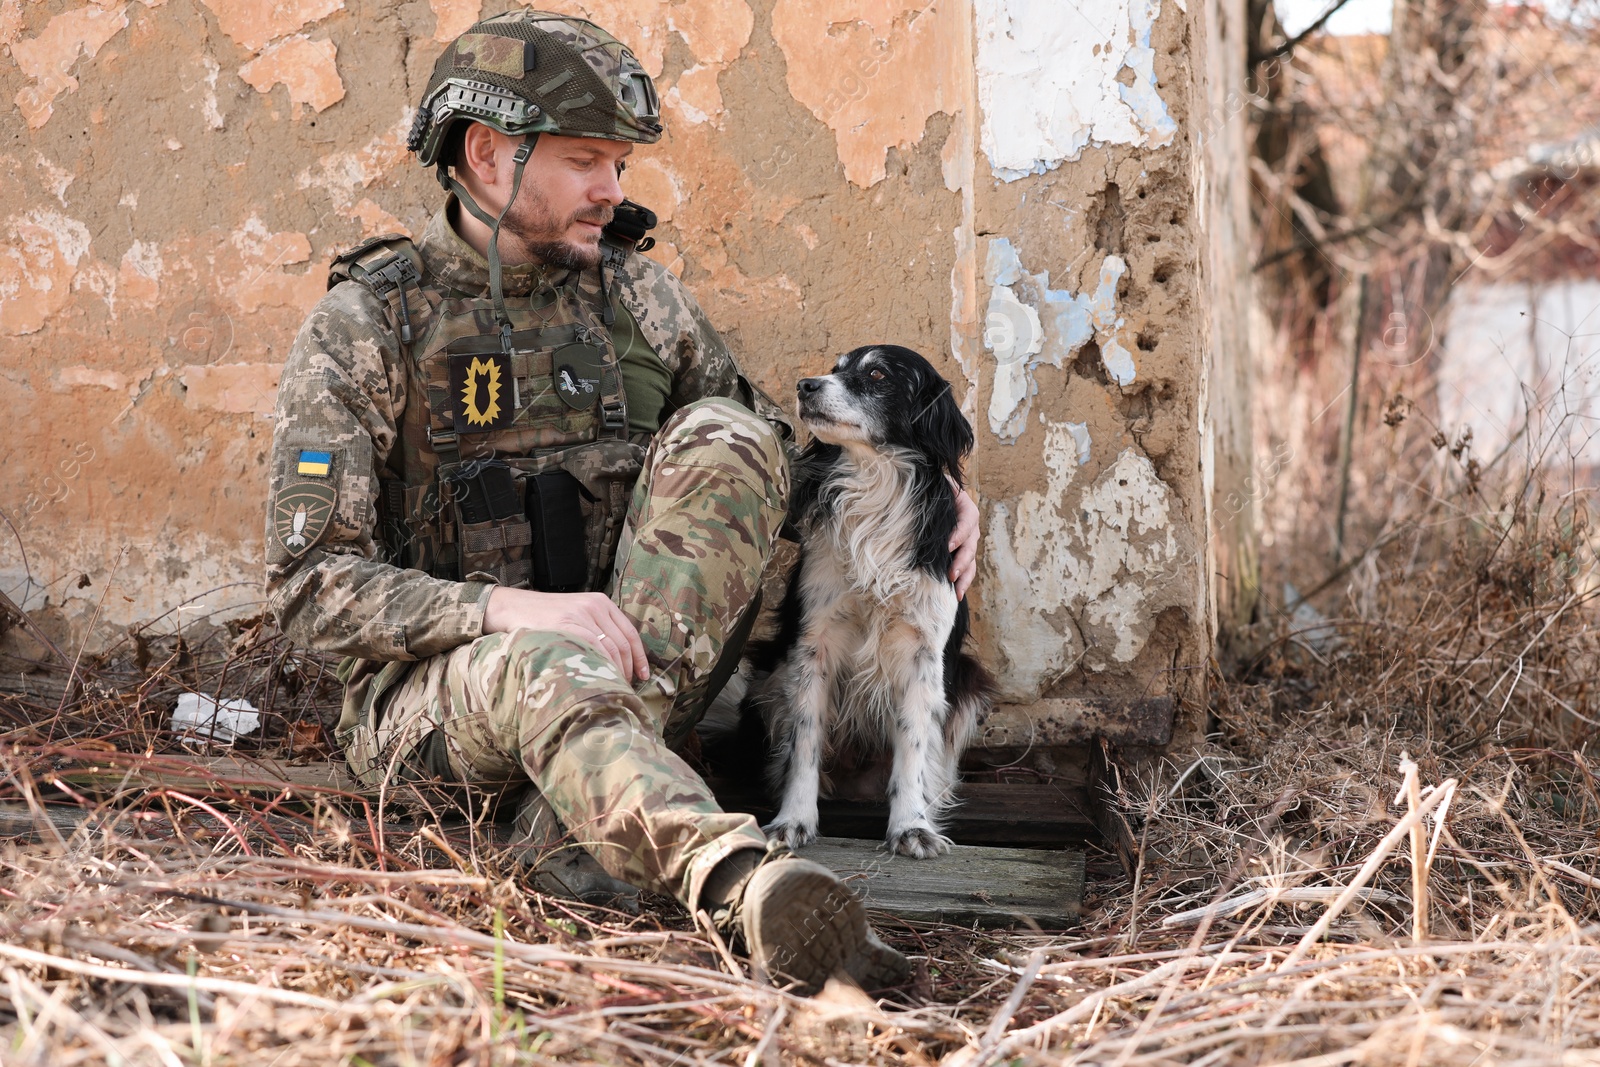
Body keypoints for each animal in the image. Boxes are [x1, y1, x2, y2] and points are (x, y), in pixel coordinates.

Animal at [745, 343, 992, 857]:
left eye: (877, 375)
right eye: (834, 369)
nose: (805, 386)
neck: (875, 483)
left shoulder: (923, 654)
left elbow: (912, 750)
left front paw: (912, 826)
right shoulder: (812, 646)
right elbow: (804, 745)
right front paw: (793, 820)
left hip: (971, 684)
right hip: (767, 672)